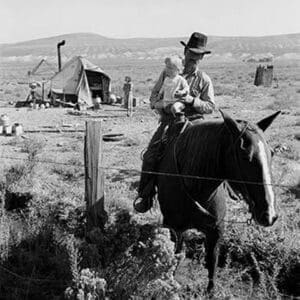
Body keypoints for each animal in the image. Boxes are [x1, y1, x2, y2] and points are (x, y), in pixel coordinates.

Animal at [156, 109, 280, 292]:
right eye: (245, 155)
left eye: (271, 153)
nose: (269, 215)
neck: (197, 187)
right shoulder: (174, 228)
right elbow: (174, 256)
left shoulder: (216, 231)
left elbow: (212, 264)